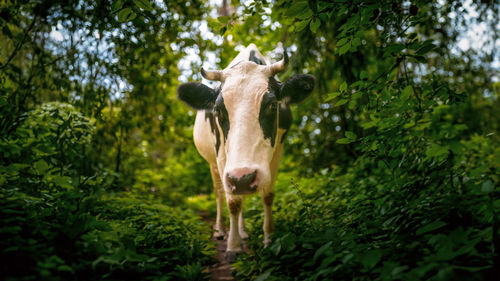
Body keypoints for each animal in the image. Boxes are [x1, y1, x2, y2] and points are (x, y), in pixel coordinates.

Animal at [178, 43, 314, 260]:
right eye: (217, 111)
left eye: (272, 105)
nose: (242, 178)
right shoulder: (221, 156)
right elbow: (233, 201)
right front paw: (233, 247)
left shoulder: (278, 148)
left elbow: (267, 196)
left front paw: (269, 239)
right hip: (213, 163)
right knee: (219, 191)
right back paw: (220, 230)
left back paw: (242, 231)